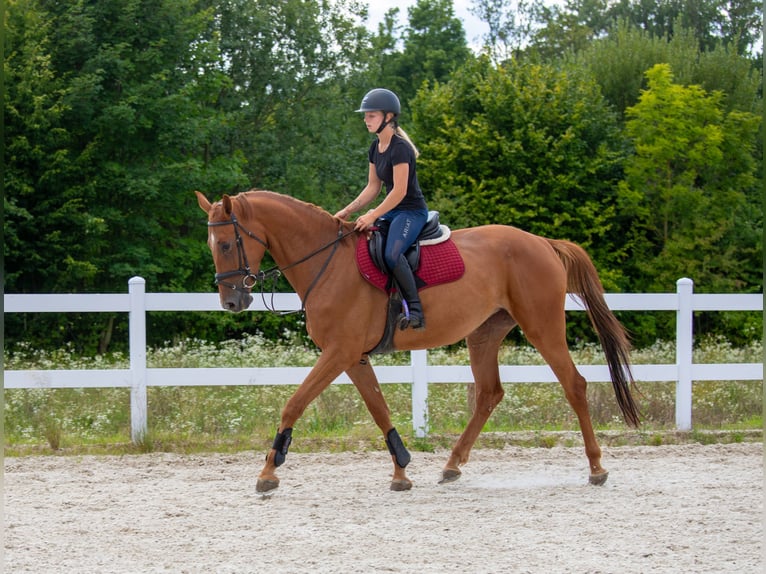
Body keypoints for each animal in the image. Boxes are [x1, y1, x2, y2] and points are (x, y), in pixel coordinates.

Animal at [195, 190, 640, 492]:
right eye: (211, 245)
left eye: (227, 243)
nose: (231, 301)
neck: (327, 262)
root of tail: (543, 242)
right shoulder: (353, 356)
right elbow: (378, 409)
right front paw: (401, 469)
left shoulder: (339, 352)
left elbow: (294, 403)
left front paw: (269, 469)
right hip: (484, 334)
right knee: (489, 394)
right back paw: (452, 465)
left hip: (542, 326)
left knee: (574, 384)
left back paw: (596, 467)